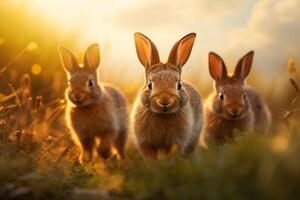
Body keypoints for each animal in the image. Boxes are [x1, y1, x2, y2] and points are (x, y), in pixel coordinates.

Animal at [132, 33, 204, 161]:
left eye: (179, 85)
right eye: (149, 84)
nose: (164, 101)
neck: (162, 116)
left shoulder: (176, 142)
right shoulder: (145, 143)